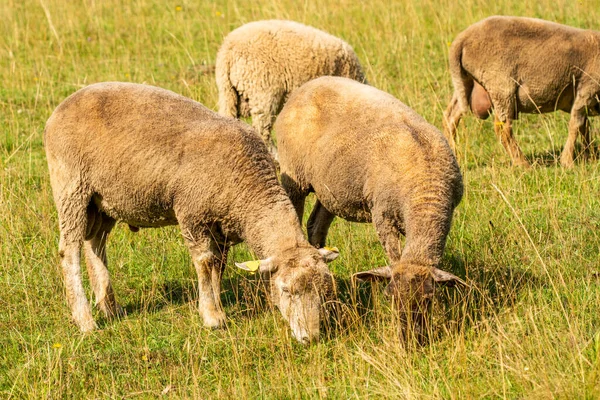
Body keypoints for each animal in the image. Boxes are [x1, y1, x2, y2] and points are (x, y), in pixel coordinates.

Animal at [44, 81, 340, 344]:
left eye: (325, 291)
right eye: (286, 290)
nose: (311, 338)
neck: (248, 190)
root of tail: (61, 107)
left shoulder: (222, 227)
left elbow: (218, 266)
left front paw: (216, 305)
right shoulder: (192, 214)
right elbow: (205, 262)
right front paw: (211, 317)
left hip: (103, 200)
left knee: (95, 244)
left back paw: (109, 306)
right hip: (71, 187)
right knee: (69, 251)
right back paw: (85, 320)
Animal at [274, 76, 466, 342]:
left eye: (429, 299)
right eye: (389, 297)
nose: (409, 340)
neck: (424, 193)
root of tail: (306, 86)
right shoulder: (382, 215)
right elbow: (394, 258)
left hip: (331, 189)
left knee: (316, 226)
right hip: (295, 175)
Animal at [442, 16, 600, 167]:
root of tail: (461, 39)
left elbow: (584, 126)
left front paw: (589, 156)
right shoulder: (587, 89)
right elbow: (576, 124)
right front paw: (568, 161)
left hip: (466, 82)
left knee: (450, 117)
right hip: (501, 86)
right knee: (503, 128)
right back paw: (523, 164)